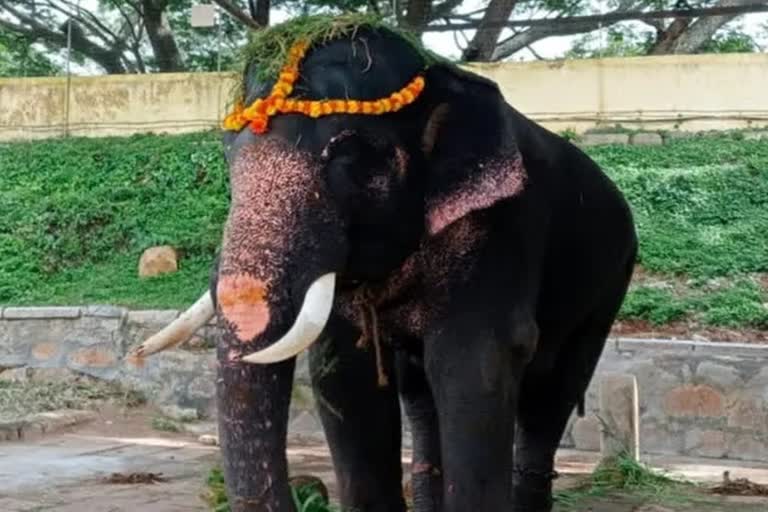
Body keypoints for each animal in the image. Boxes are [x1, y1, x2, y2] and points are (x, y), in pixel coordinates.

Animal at [132, 16, 636, 512]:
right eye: (227, 156)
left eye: (345, 156)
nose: (306, 492)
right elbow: (342, 379)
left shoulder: (502, 228)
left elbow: (474, 362)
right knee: (420, 395)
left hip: (609, 283)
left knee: (551, 395)